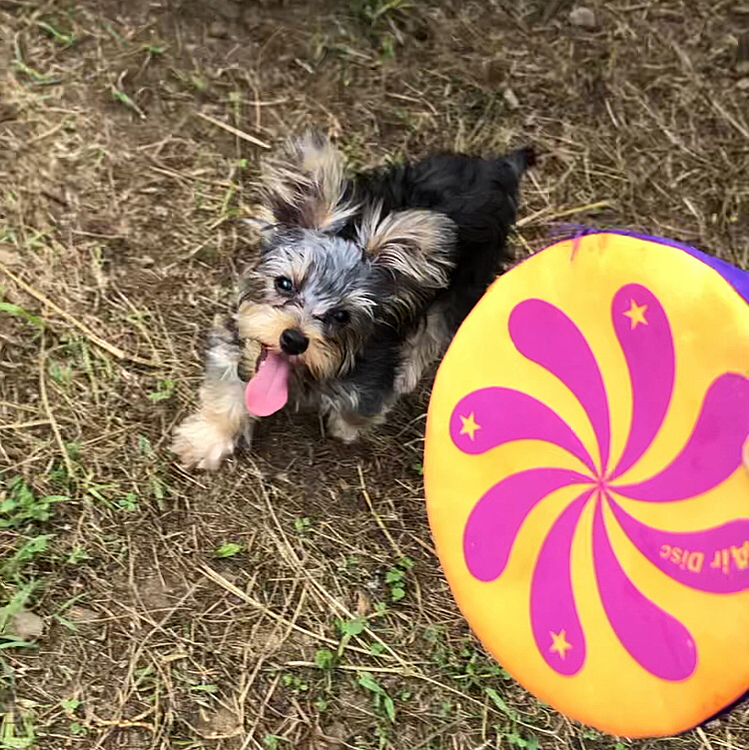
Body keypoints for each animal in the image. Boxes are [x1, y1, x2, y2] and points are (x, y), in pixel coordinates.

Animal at [172, 132, 536, 468]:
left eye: (342, 316)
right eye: (284, 283)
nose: (293, 339)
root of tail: (496, 168)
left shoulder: (373, 377)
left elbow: (359, 408)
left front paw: (348, 427)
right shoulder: (233, 344)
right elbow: (226, 390)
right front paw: (206, 438)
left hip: (466, 283)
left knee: (434, 331)